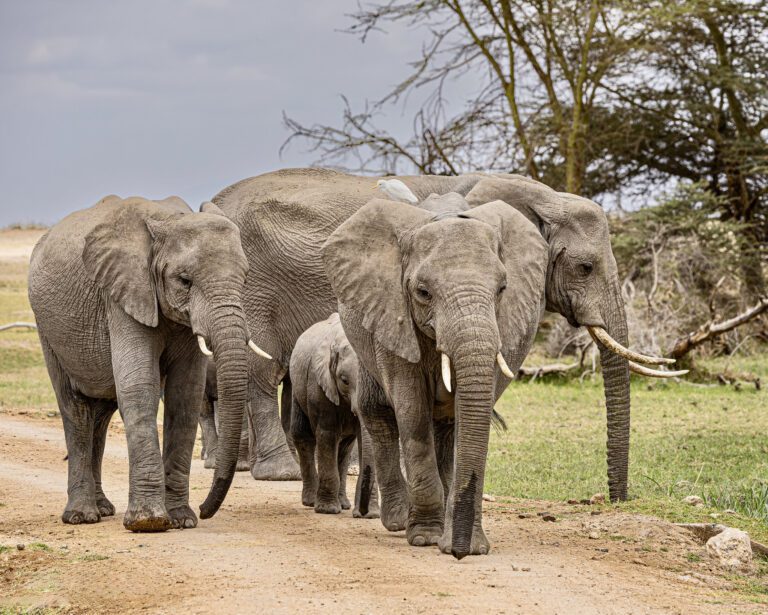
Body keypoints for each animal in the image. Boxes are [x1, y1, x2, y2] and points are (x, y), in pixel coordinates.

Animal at [28, 196, 260, 528]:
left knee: (101, 414)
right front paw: (148, 522)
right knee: (75, 409)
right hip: (48, 329)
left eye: (244, 278)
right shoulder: (122, 294)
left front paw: (182, 520)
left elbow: (185, 394)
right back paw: (81, 516)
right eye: (185, 281)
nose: (205, 509)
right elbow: (140, 388)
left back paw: (103, 509)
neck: (168, 220)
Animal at [290, 312, 380, 520]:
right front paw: (327, 510)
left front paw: (371, 515)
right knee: (303, 436)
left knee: (345, 447)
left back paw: (344, 504)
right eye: (344, 380)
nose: (362, 513)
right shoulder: (319, 384)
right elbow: (327, 434)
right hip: (298, 389)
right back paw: (311, 502)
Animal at [320, 192, 548, 560]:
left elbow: (469, 416)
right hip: (364, 338)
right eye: (423, 292)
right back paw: (399, 522)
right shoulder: (393, 315)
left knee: (446, 427)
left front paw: (468, 544)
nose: (458, 553)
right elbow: (412, 411)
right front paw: (426, 538)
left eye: (502, 289)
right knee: (378, 414)